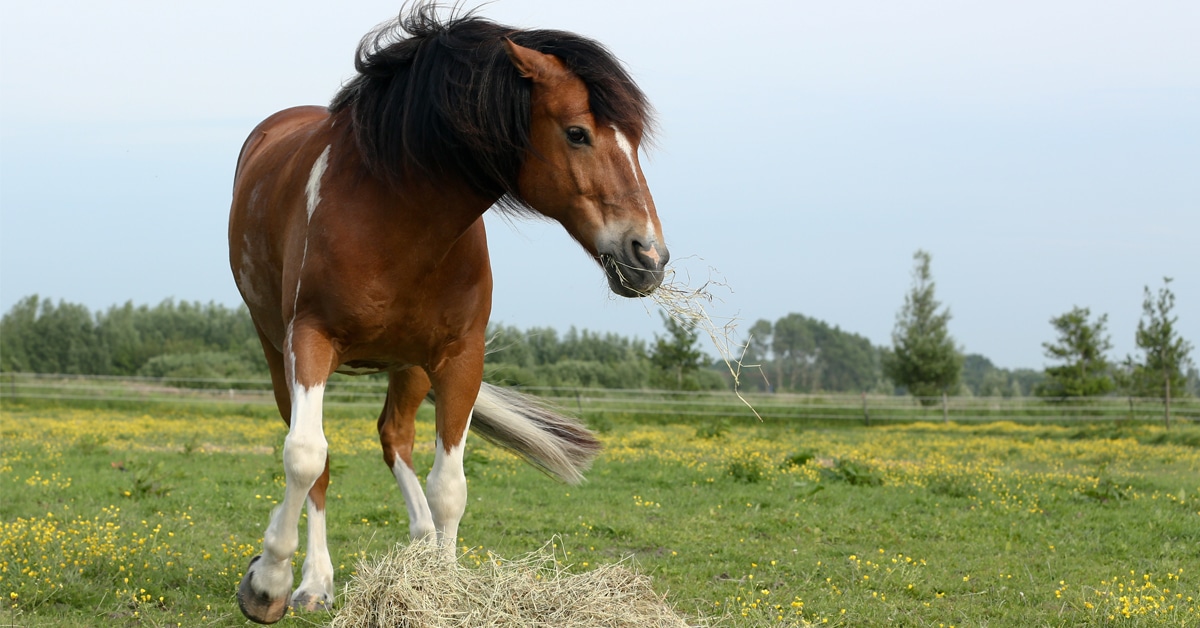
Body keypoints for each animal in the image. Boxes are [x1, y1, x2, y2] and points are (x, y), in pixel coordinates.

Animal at [227, 6, 668, 624]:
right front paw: (267, 584)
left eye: (635, 141)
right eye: (577, 133)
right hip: (277, 350)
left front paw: (441, 583)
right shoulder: (310, 339)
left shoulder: (460, 357)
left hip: (408, 366)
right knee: (316, 461)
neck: (398, 213)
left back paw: (418, 542)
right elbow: (306, 457)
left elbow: (450, 487)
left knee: (394, 437)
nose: (648, 256)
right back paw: (314, 582)